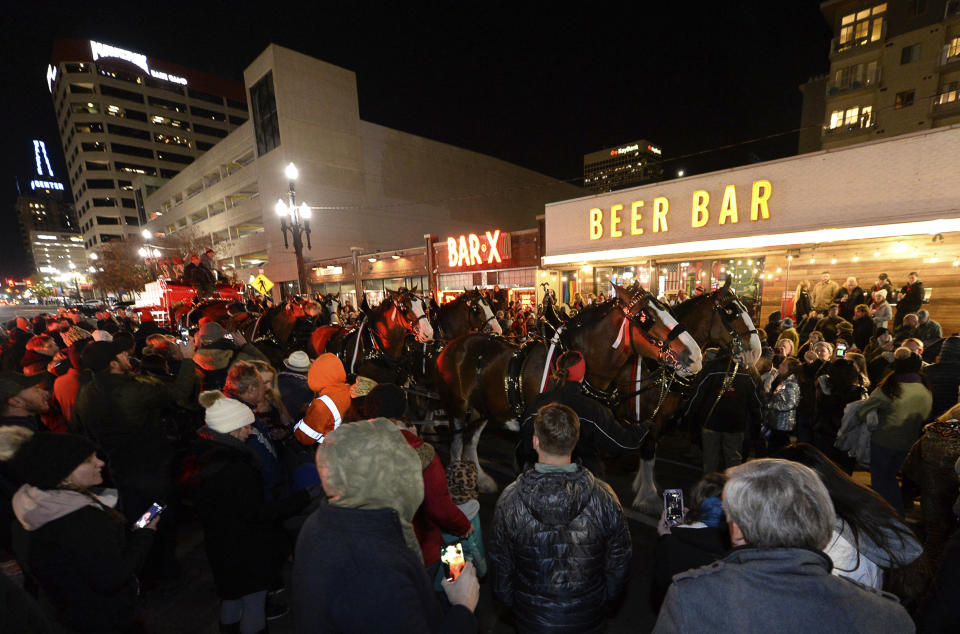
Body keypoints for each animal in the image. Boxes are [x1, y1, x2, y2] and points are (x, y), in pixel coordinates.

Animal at [436, 284, 704, 492]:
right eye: (646, 318)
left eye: (669, 310)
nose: (696, 356)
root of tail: (451, 346)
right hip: (457, 407)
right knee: (457, 443)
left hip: (482, 409)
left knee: (471, 440)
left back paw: (480, 479)